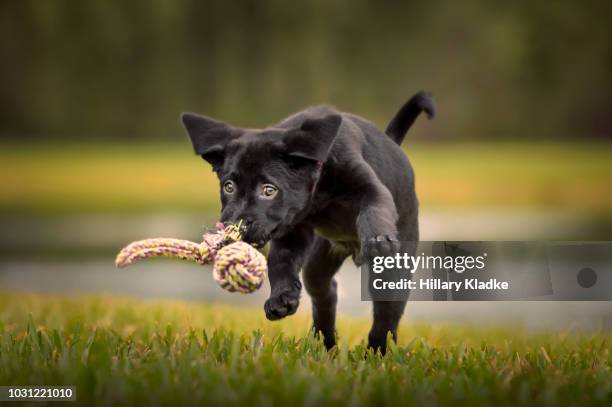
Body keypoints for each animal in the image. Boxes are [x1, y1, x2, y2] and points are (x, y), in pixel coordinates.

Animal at [182, 91, 436, 352]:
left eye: (269, 190)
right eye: (229, 186)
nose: (234, 226)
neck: (318, 192)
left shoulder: (369, 187)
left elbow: (374, 206)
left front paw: (378, 238)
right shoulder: (291, 229)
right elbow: (280, 263)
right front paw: (281, 298)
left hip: (393, 273)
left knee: (386, 316)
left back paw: (376, 353)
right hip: (320, 259)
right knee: (326, 292)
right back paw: (327, 346)